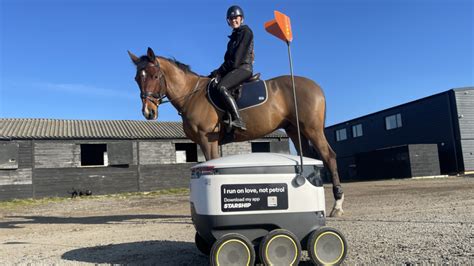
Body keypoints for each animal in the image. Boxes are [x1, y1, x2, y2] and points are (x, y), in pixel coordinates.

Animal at [129, 47, 344, 217]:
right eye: (137, 78)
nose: (148, 112)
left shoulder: (208, 140)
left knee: (329, 156)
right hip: (295, 130)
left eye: (155, 76)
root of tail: (315, 86)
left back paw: (337, 205)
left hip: (312, 129)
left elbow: (211, 164)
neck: (192, 95)